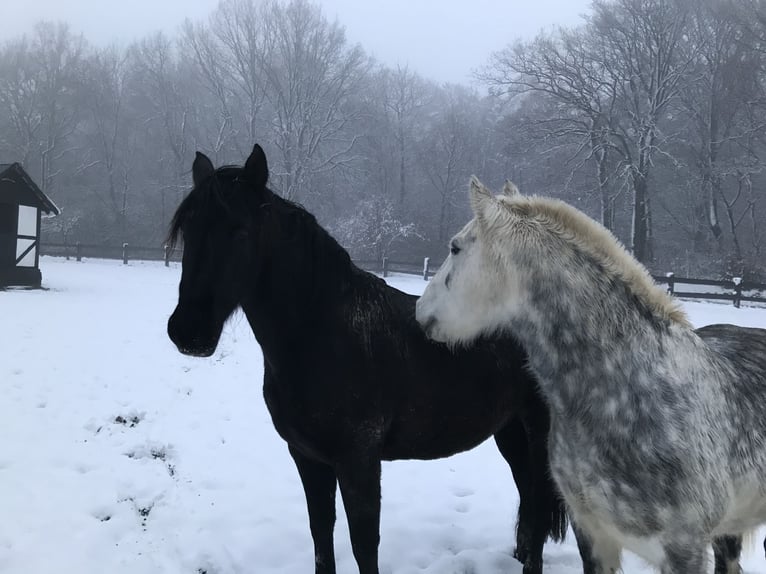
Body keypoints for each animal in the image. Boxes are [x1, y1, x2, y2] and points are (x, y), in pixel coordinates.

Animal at [166, 145, 576, 574]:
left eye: (240, 231)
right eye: (188, 230)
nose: (187, 332)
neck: (321, 332)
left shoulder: (358, 461)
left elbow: (364, 544)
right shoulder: (308, 457)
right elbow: (321, 533)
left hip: (538, 432)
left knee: (539, 508)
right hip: (510, 431)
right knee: (528, 501)